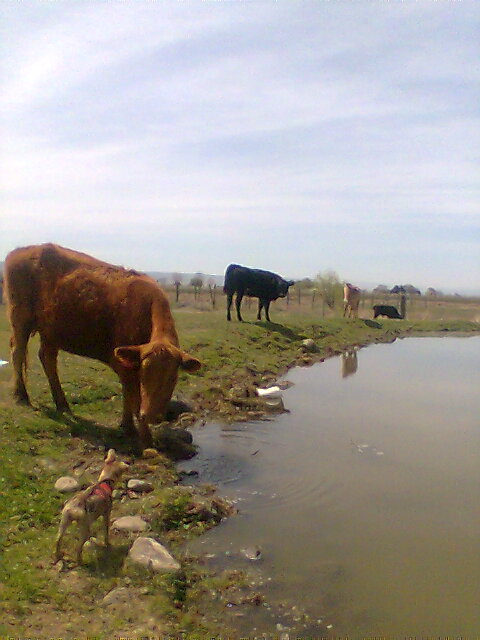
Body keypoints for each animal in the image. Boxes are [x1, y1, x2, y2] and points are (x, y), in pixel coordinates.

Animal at [4, 243, 201, 450]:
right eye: (145, 375)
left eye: (172, 378)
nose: (151, 415)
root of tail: (22, 250)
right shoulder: (126, 364)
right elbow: (133, 397)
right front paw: (144, 438)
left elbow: (128, 395)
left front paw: (128, 427)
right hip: (20, 319)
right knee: (18, 352)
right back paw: (21, 395)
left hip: (50, 330)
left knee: (47, 358)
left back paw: (62, 404)